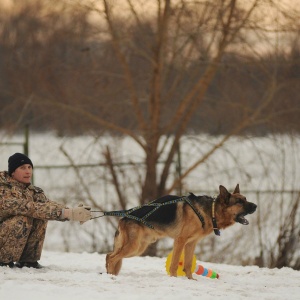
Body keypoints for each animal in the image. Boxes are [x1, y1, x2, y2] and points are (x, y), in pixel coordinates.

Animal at [105, 184, 255, 280]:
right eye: (239, 202)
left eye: (245, 199)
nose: (256, 206)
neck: (210, 211)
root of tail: (124, 217)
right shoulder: (180, 241)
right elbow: (175, 263)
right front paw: (174, 278)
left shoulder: (191, 243)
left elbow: (188, 264)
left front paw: (190, 280)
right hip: (134, 247)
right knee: (111, 257)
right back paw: (111, 276)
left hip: (138, 248)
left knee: (109, 255)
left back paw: (110, 274)